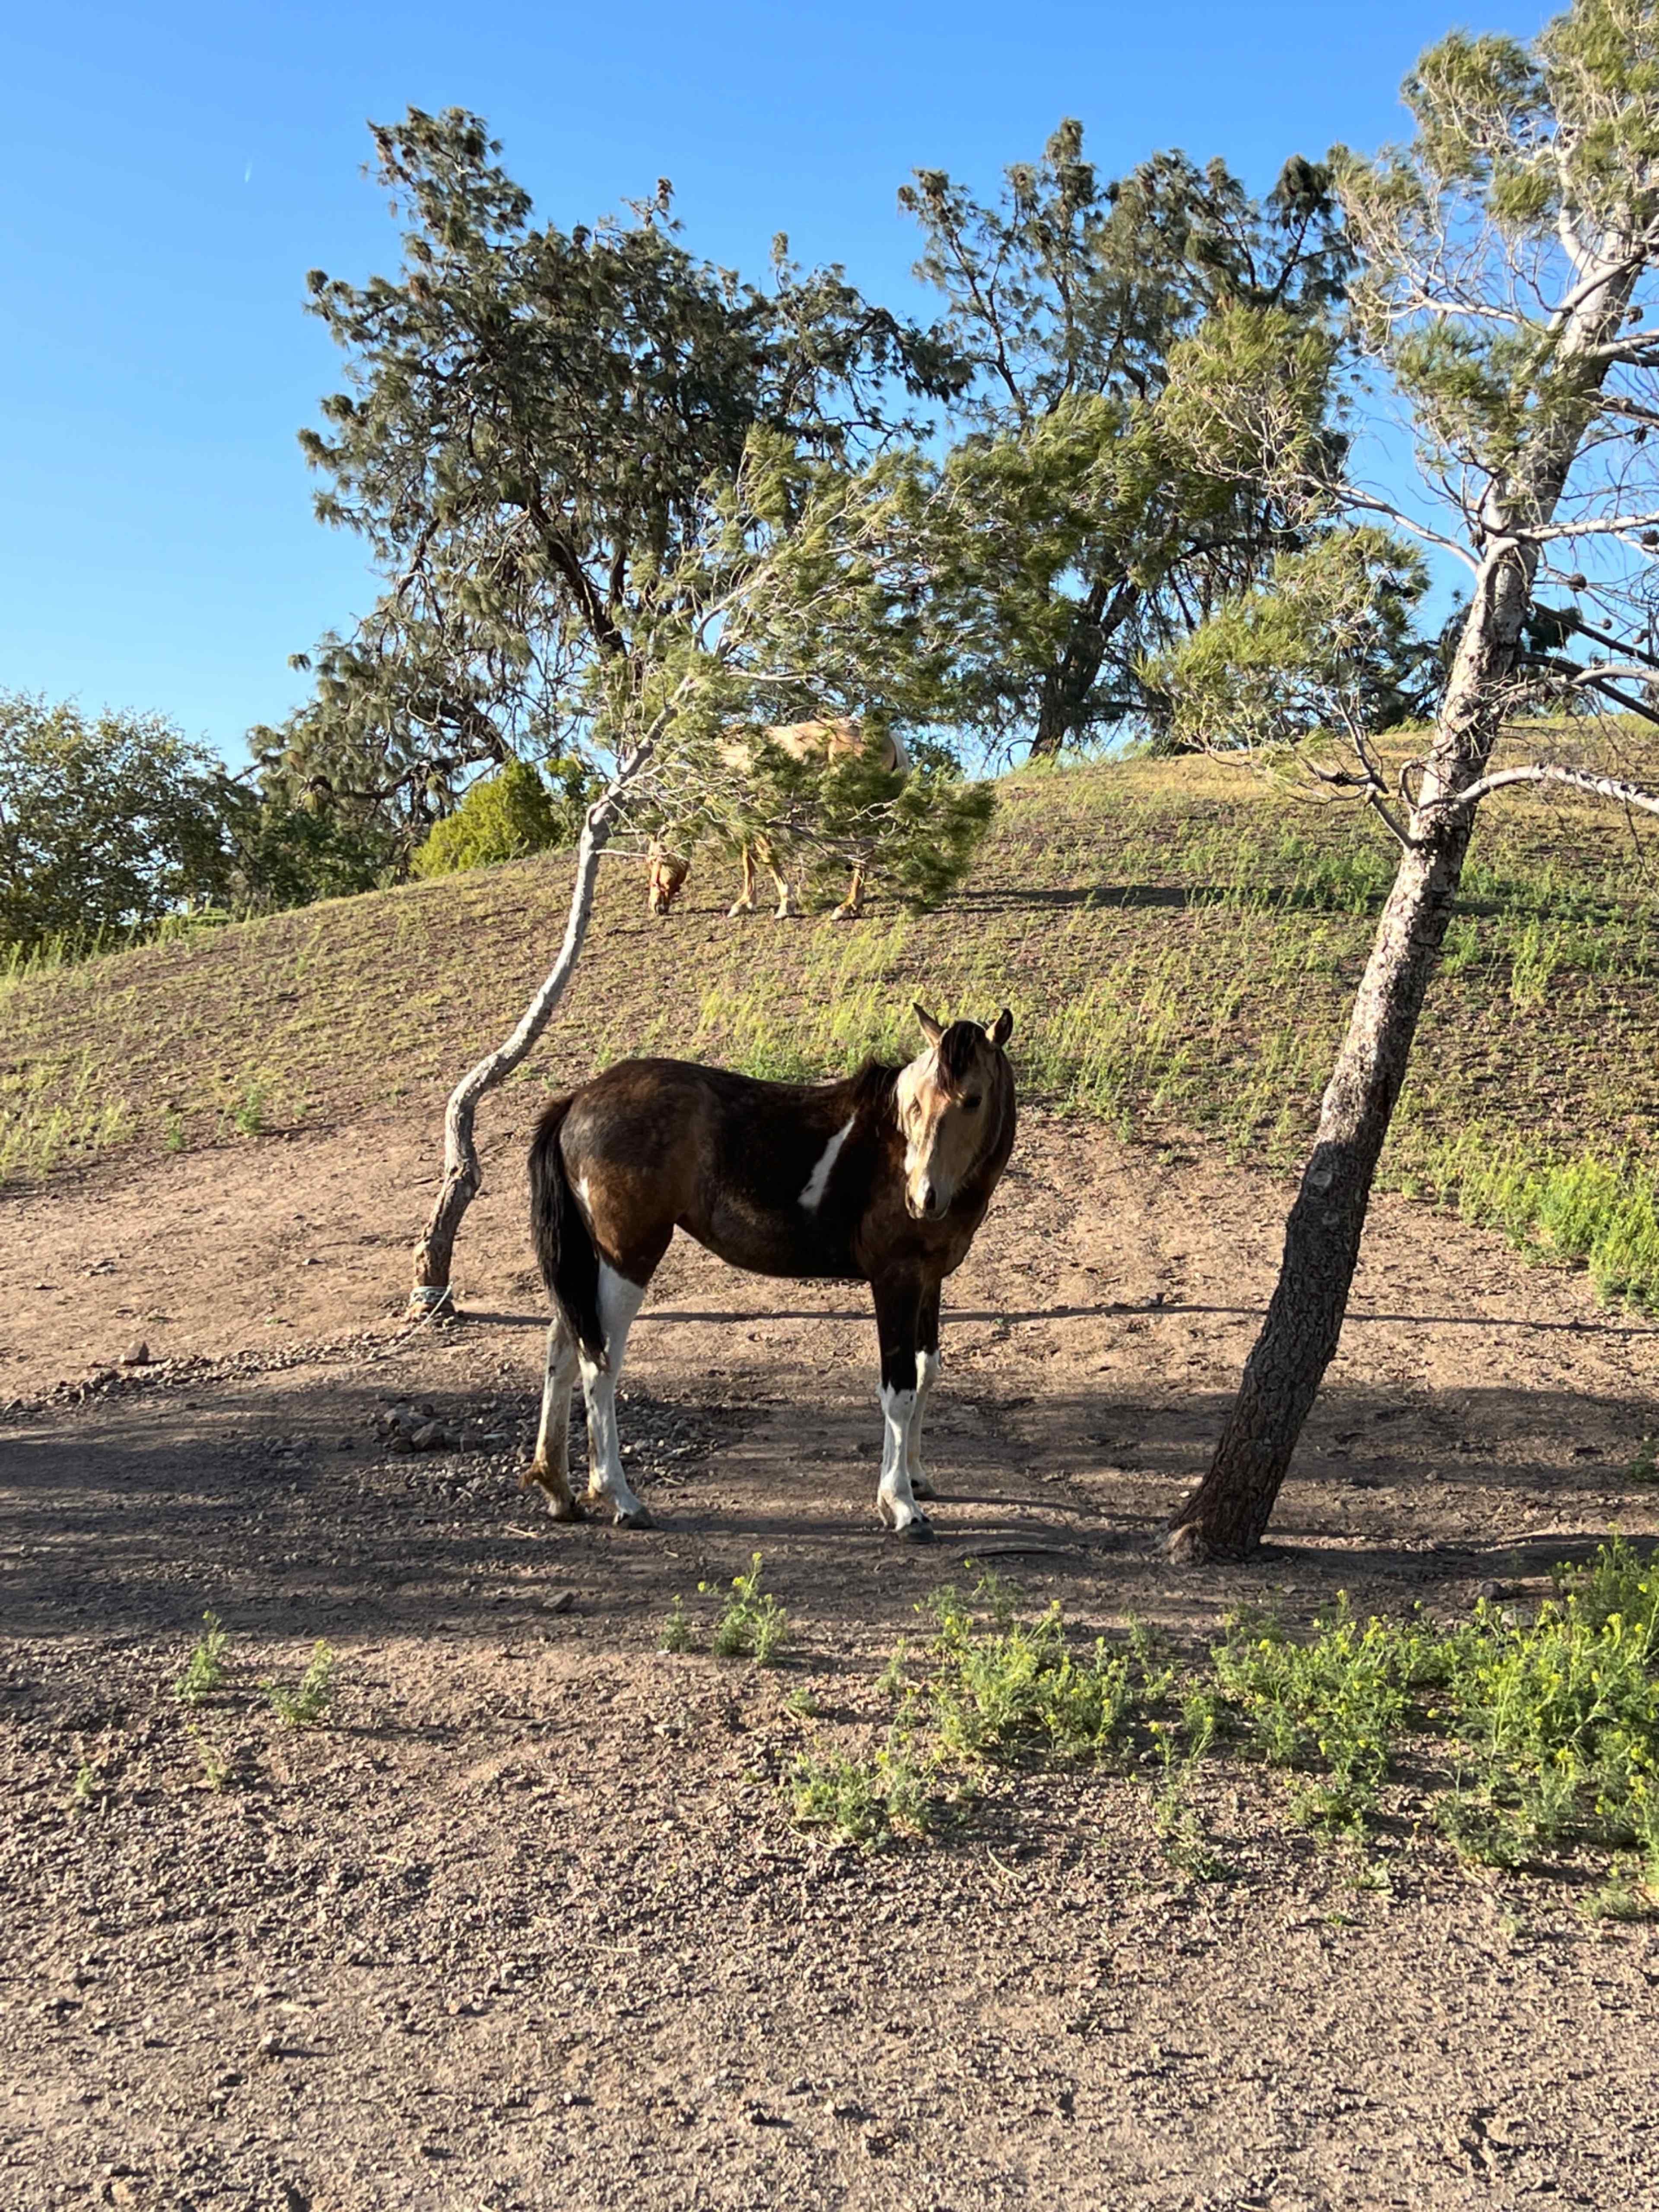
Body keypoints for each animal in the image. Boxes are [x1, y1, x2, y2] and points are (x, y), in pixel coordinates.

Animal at [524, 1004, 1016, 1538]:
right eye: (916, 1104)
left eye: (972, 1099)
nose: (923, 1198)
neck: (890, 1148)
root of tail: (577, 1100)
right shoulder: (896, 1280)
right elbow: (899, 1389)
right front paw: (900, 1504)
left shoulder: (929, 1279)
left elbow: (926, 1372)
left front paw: (917, 1477)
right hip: (627, 1259)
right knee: (599, 1363)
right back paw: (621, 1496)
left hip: (590, 1264)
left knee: (563, 1346)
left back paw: (558, 1489)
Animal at [645, 716, 911, 922]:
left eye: (654, 860)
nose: (655, 905)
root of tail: (886, 734)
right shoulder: (744, 817)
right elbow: (748, 858)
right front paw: (745, 903)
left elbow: (767, 857)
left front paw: (786, 905)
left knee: (864, 848)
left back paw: (848, 907)